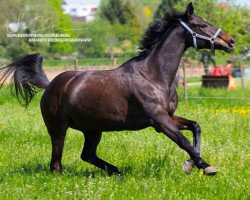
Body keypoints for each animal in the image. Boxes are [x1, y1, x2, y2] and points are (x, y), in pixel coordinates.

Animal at [0, 2, 234, 175]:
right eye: (202, 24)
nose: (230, 41)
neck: (154, 75)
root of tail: (50, 86)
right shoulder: (159, 120)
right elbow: (183, 140)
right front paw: (206, 167)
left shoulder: (167, 117)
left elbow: (195, 127)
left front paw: (191, 164)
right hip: (58, 128)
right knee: (56, 164)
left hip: (93, 129)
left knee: (87, 155)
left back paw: (116, 171)